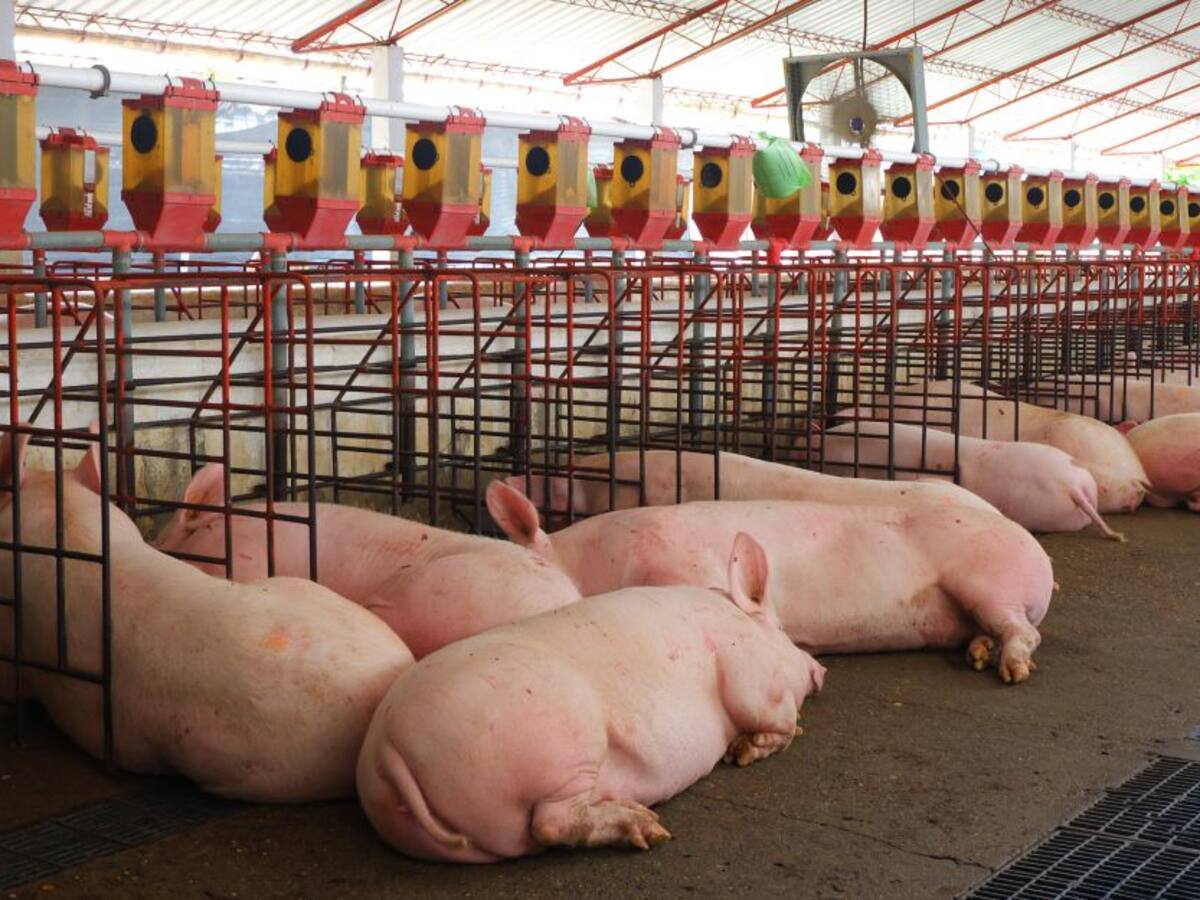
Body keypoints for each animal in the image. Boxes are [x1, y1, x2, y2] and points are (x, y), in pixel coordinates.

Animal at [356, 532, 826, 862]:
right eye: (781, 629)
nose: (820, 670)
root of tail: (387, 747)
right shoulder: (750, 676)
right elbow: (774, 720)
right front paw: (744, 750)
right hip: (566, 744)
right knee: (551, 823)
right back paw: (648, 827)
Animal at [487, 482, 1053, 685]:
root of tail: (1039, 554)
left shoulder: (689, 567)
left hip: (990, 578)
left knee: (1025, 631)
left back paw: (1009, 672)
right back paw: (977, 654)